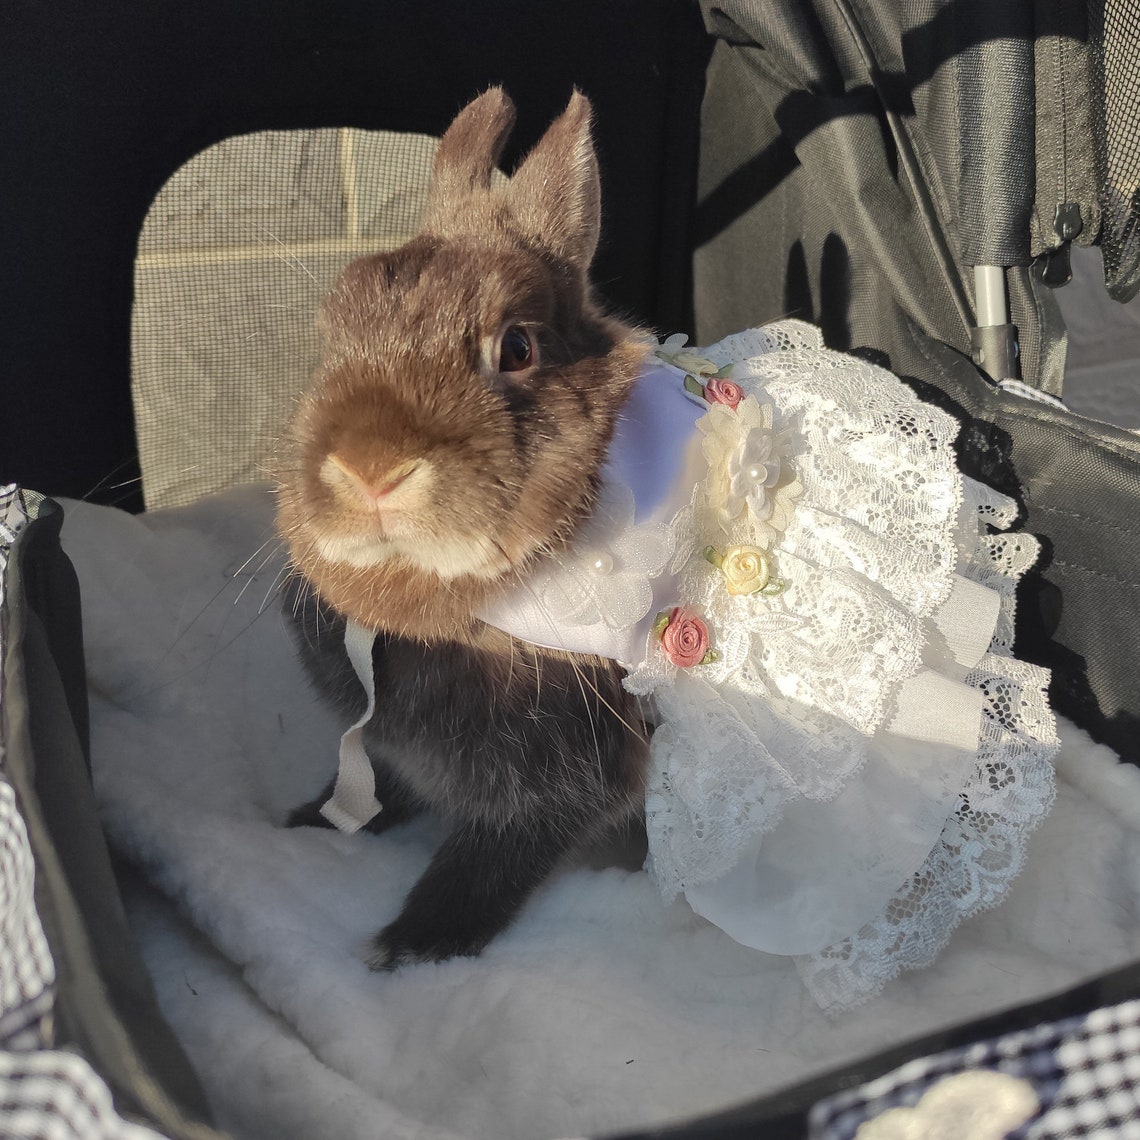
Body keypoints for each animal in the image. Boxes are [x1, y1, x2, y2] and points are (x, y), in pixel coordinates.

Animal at [275, 88, 652, 969]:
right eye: (330, 340)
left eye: (516, 347)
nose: (370, 467)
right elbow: (381, 786)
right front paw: (312, 818)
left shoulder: (560, 778)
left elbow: (488, 860)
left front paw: (411, 945)